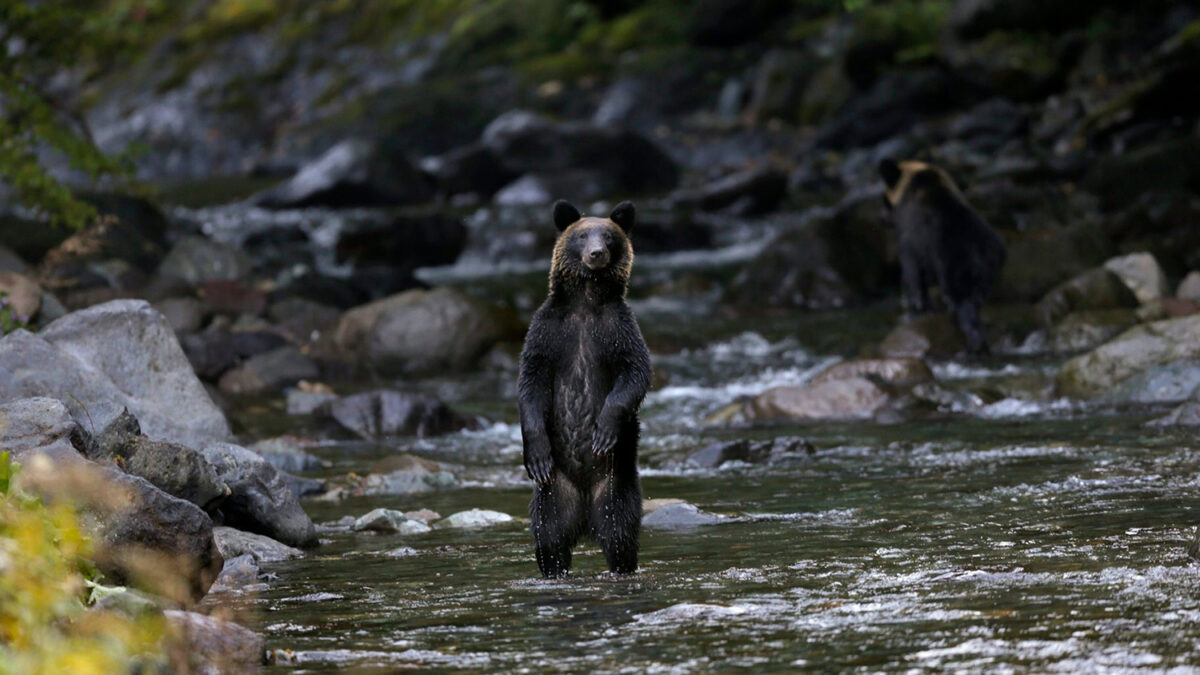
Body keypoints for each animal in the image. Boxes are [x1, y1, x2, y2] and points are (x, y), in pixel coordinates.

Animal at [513, 196, 648, 576]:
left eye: (609, 235)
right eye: (582, 235)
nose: (597, 253)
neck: (586, 301)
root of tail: (585, 516)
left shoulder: (618, 330)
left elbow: (635, 373)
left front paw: (603, 431)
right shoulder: (548, 333)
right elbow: (530, 384)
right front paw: (536, 453)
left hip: (616, 484)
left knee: (620, 533)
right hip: (553, 493)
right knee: (549, 539)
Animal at [878, 159, 1008, 355]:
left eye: (884, 198)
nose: (882, 218)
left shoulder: (910, 241)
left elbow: (912, 276)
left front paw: (916, 308)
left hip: (955, 266)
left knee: (963, 305)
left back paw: (973, 347)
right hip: (988, 271)